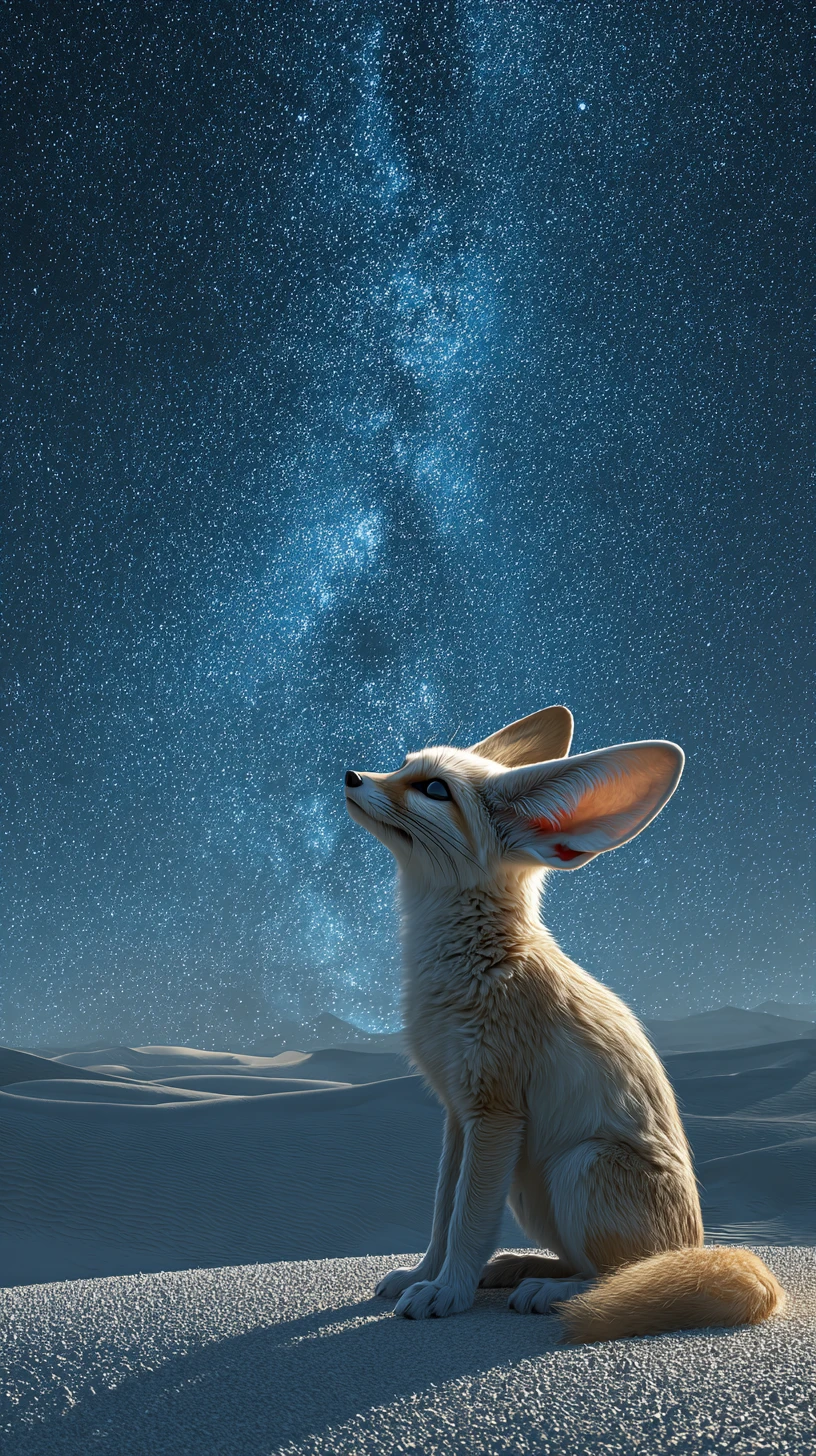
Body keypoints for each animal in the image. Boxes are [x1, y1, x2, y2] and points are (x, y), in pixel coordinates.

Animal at [344, 705, 785, 1342]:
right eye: (403, 765)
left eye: (435, 790)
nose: (351, 775)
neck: (476, 959)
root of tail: (692, 1246)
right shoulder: (456, 1112)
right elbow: (442, 1212)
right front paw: (424, 1275)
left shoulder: (495, 1112)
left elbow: (467, 1220)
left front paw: (447, 1293)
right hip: (531, 1186)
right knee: (587, 1262)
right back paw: (517, 1268)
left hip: (577, 1165)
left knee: (619, 1276)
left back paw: (551, 1291)